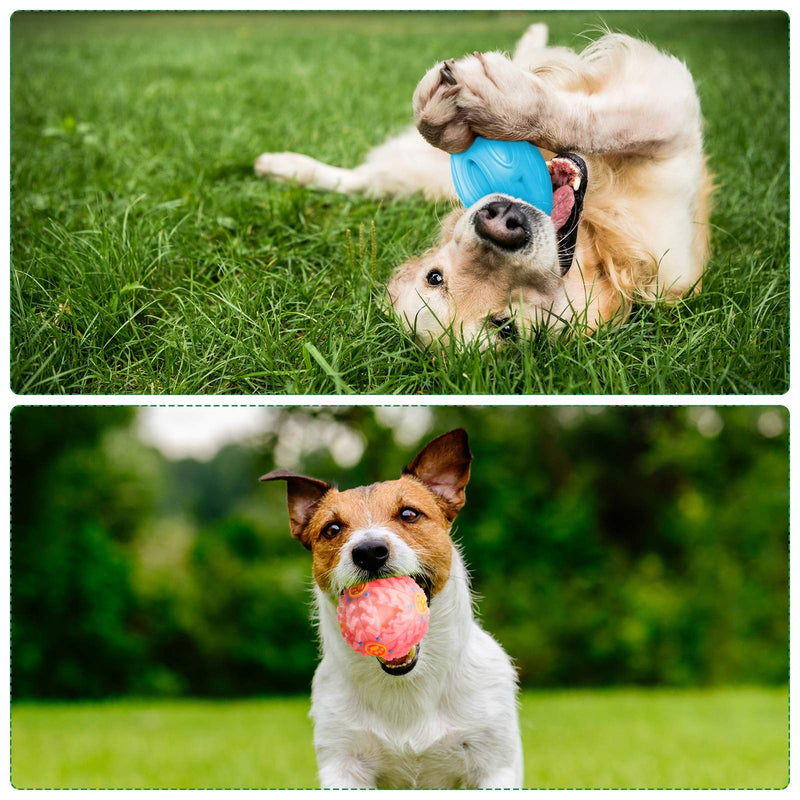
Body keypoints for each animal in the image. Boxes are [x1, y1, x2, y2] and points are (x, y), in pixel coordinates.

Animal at [256, 21, 712, 346]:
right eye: (436, 277)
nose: (501, 222)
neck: (597, 239)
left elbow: (592, 119)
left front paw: (495, 104)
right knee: (363, 181)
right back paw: (281, 166)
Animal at [260, 428, 520, 792]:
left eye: (409, 514)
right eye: (331, 529)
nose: (369, 551)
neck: (407, 684)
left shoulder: (494, 764)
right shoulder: (343, 764)